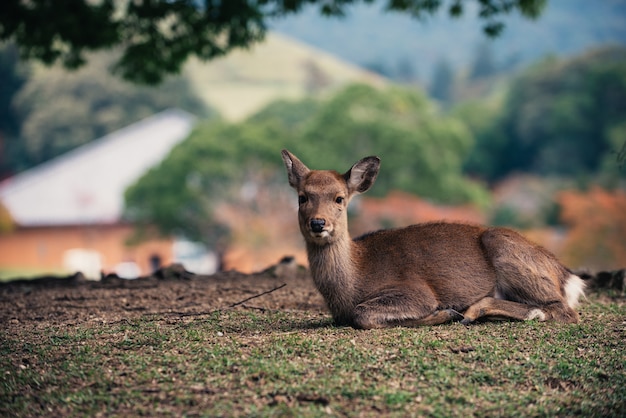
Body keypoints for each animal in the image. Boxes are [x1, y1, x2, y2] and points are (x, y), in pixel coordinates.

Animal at [280, 150, 584, 330]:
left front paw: (446, 312)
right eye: (302, 197)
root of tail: (567, 276)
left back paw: (472, 312)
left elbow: (363, 315)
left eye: (339, 198)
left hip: (506, 250)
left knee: (563, 309)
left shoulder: (415, 290)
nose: (318, 223)